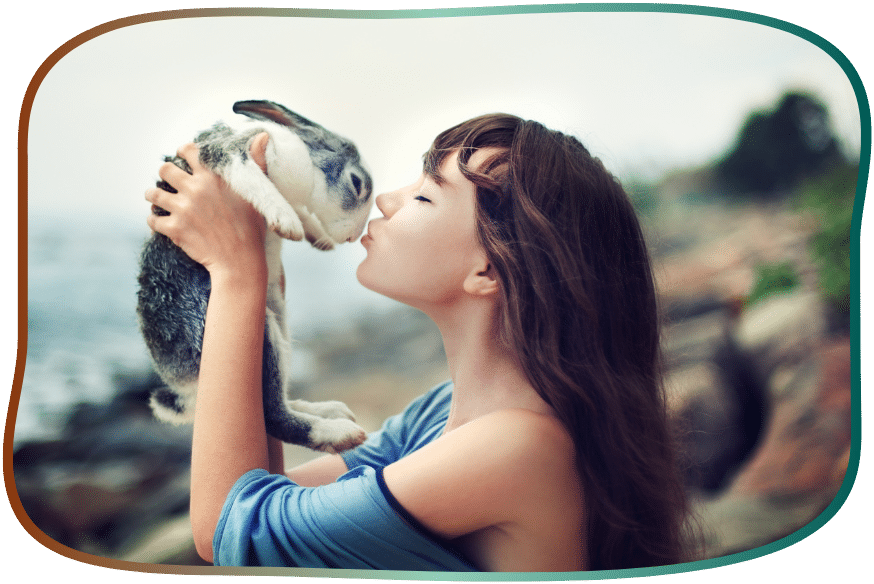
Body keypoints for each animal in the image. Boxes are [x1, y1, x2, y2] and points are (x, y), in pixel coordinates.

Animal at [137, 100, 372, 452]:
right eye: (356, 183)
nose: (352, 237)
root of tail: (181, 381)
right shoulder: (230, 153)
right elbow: (253, 178)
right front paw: (286, 220)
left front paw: (316, 237)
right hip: (262, 336)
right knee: (274, 417)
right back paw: (338, 431)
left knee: (276, 402)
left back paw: (328, 410)